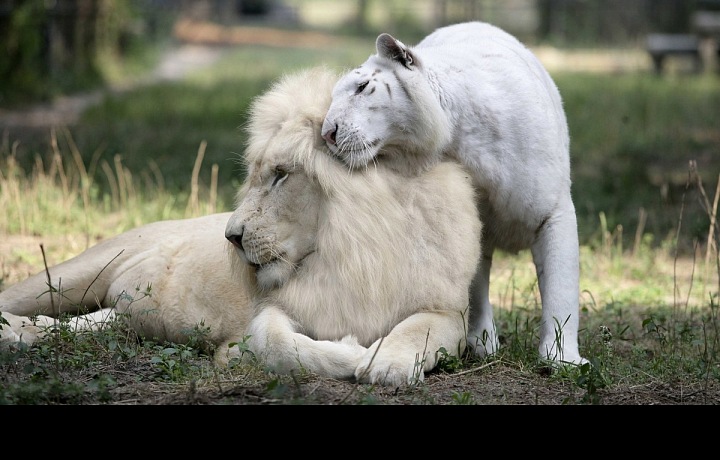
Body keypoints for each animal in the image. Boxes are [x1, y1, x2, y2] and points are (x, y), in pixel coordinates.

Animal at [0, 67, 482, 386]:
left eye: (281, 174)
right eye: (255, 175)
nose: (230, 237)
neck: (352, 251)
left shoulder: (449, 310)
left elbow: (418, 328)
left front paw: (387, 363)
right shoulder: (272, 313)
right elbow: (278, 345)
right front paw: (352, 351)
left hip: (119, 313)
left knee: (81, 324)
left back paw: (24, 333)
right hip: (73, 274)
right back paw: (11, 329)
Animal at [320, 21, 586, 365]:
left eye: (362, 87)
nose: (327, 134)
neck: (460, 136)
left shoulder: (553, 211)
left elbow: (561, 286)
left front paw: (562, 359)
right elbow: (473, 284)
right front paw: (482, 343)